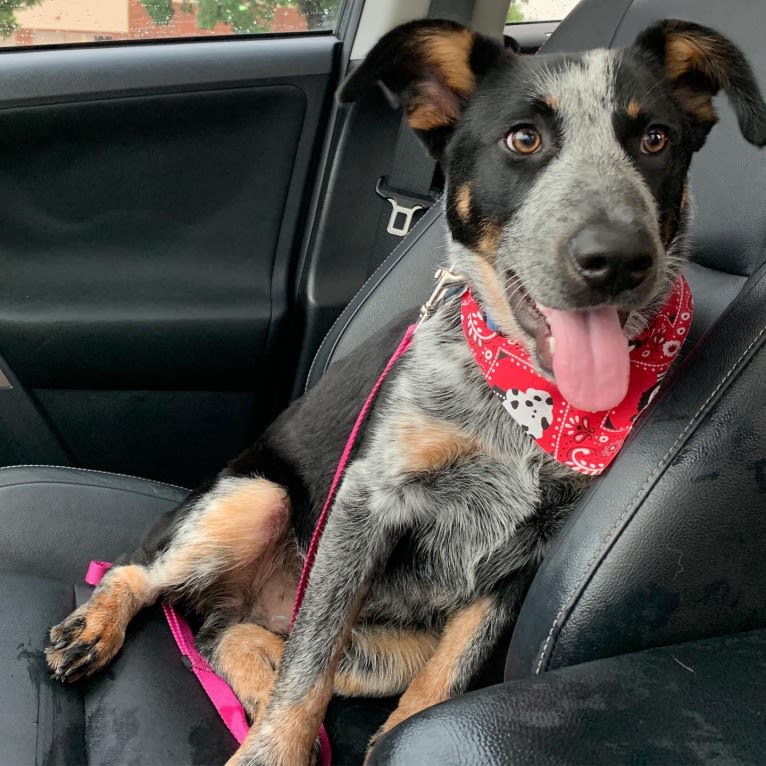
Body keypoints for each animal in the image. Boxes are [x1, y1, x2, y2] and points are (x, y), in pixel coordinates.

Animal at [46, 18, 766, 766]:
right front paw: (274, 751)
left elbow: (448, 672)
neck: (527, 401)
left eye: (655, 138)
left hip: (371, 640)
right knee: (139, 571)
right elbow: (309, 669)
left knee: (236, 637)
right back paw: (97, 630)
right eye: (524, 139)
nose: (620, 260)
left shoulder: (526, 561)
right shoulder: (365, 503)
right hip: (257, 498)